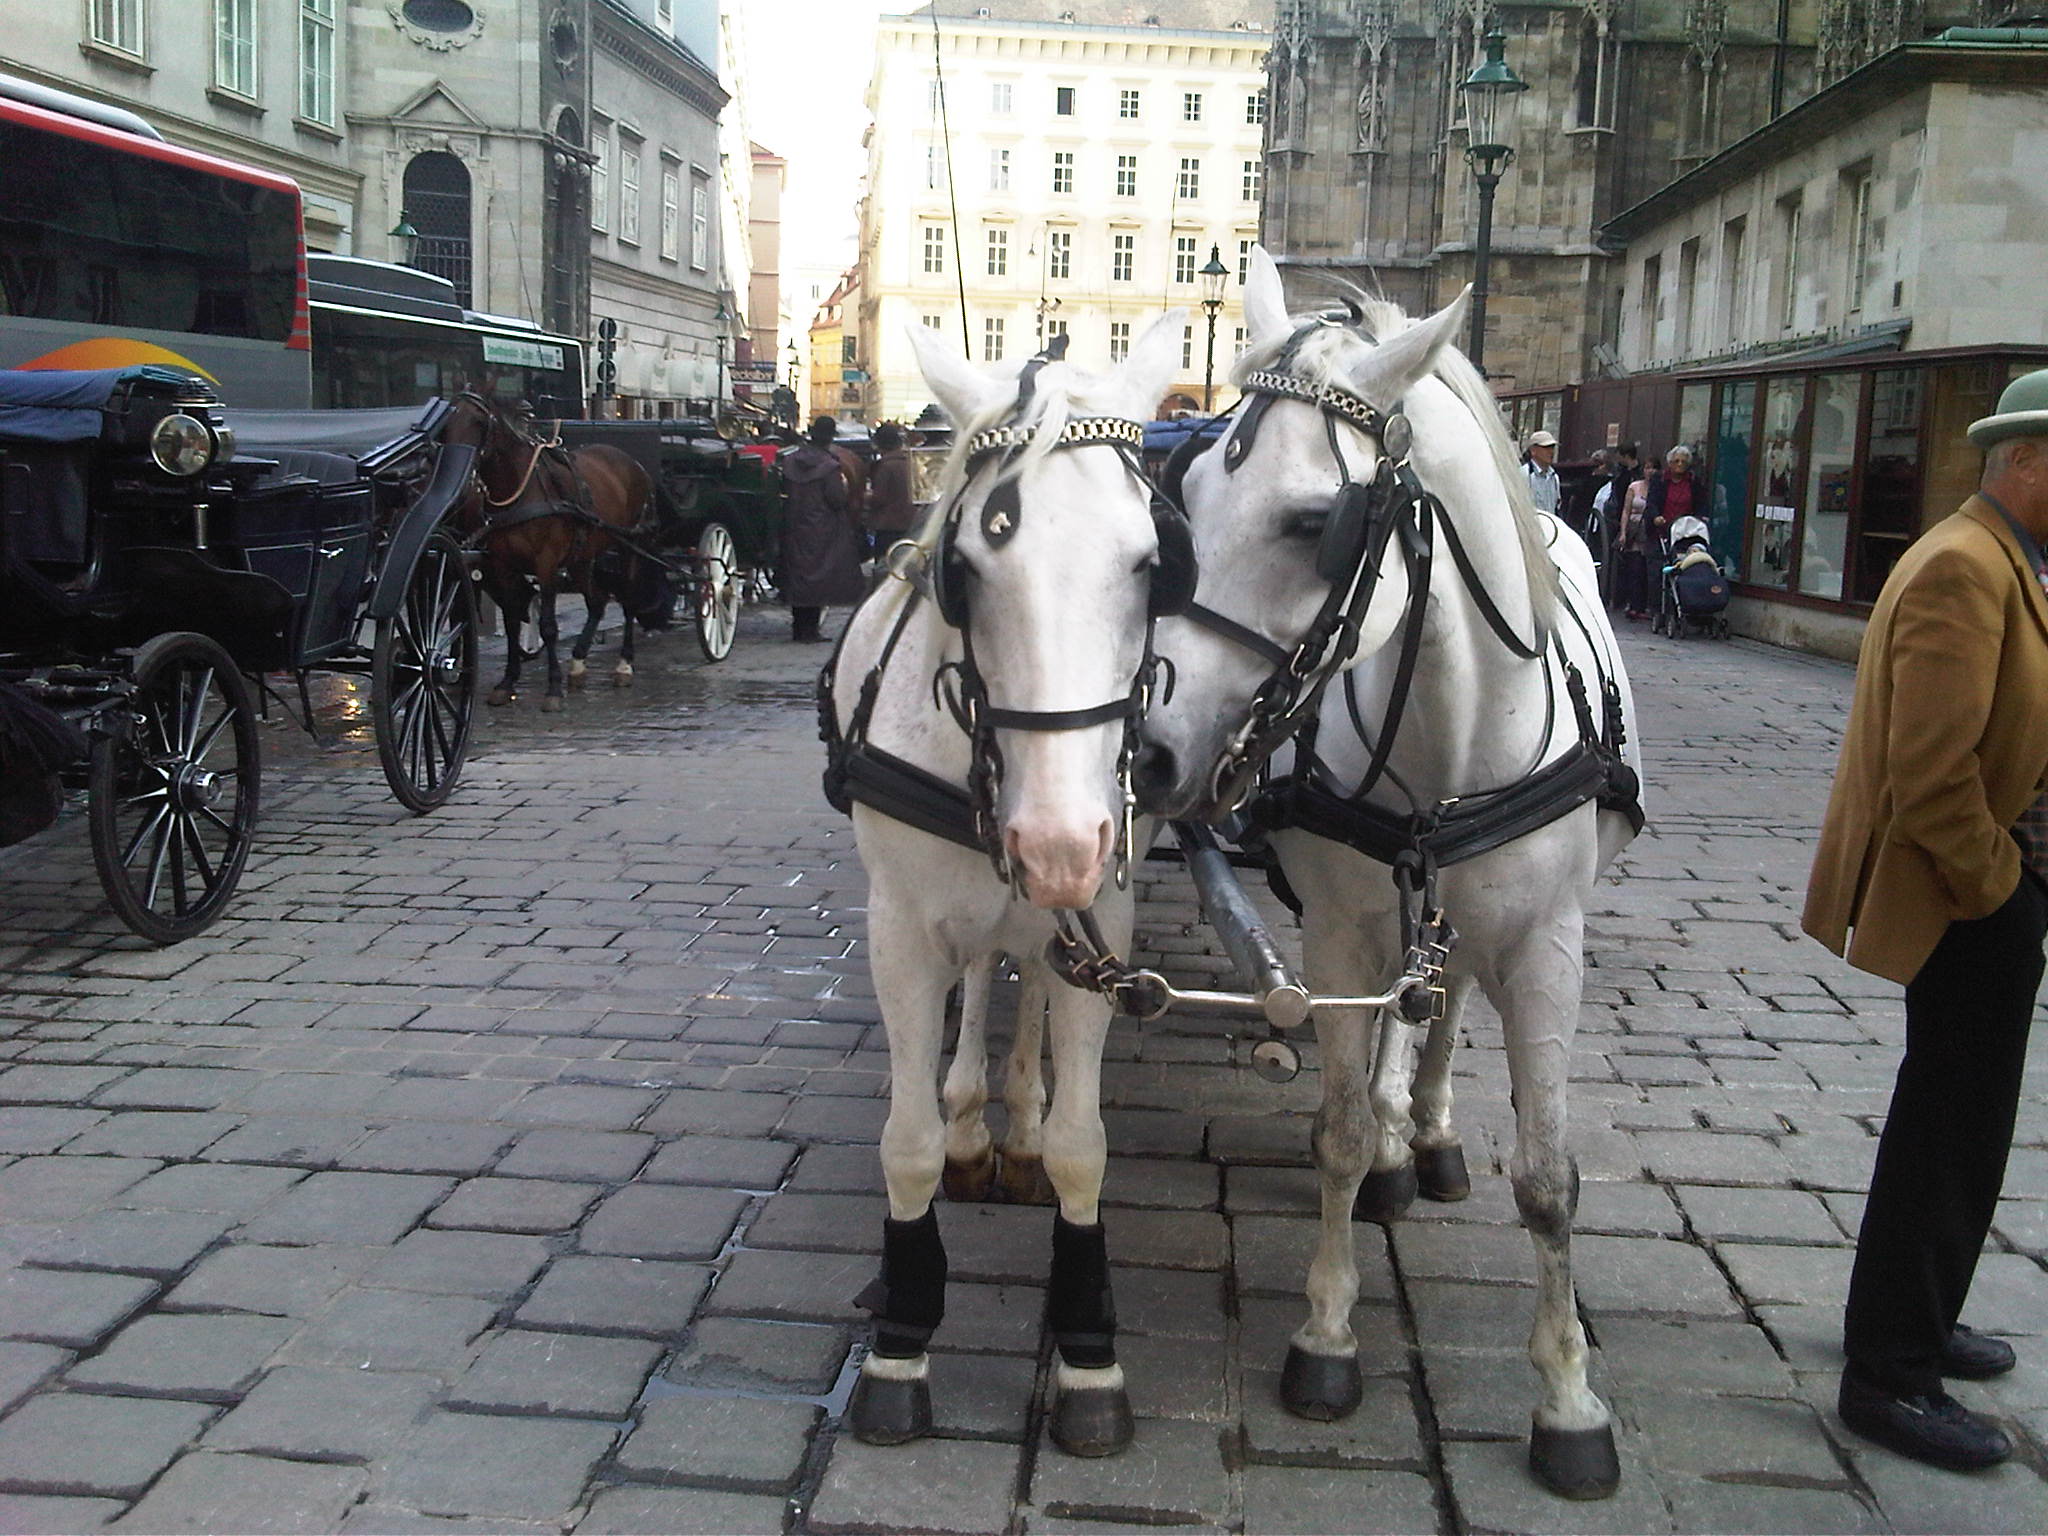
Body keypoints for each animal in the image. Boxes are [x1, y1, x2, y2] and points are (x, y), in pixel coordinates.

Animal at [444, 393, 667, 712]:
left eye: (478, 422)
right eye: (447, 420)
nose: (457, 471)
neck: (519, 491)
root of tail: (631, 462)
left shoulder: (546, 563)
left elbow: (548, 626)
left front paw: (553, 688)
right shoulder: (503, 565)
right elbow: (512, 620)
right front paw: (507, 683)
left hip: (627, 546)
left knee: (627, 601)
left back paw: (624, 664)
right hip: (582, 555)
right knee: (597, 601)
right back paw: (578, 662)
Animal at [823, 313, 1187, 1458]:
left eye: (1150, 562)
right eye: (971, 568)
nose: (1058, 841)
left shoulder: (1103, 917)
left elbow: (1081, 1146)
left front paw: (1087, 1354)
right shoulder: (899, 931)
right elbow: (904, 1144)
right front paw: (899, 1341)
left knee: (1024, 977)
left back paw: (1014, 1115)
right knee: (986, 968)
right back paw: (975, 1118)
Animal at [1138, 256, 1646, 1507]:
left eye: (1314, 523)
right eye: (1183, 499)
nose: (1152, 753)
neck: (1447, 736)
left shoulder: (1547, 942)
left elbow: (1548, 1178)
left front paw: (1567, 1400)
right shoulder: (1342, 927)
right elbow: (1331, 1129)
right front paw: (1326, 1333)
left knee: (1446, 999)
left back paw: (1431, 1132)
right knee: (1410, 1011)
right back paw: (1391, 1137)